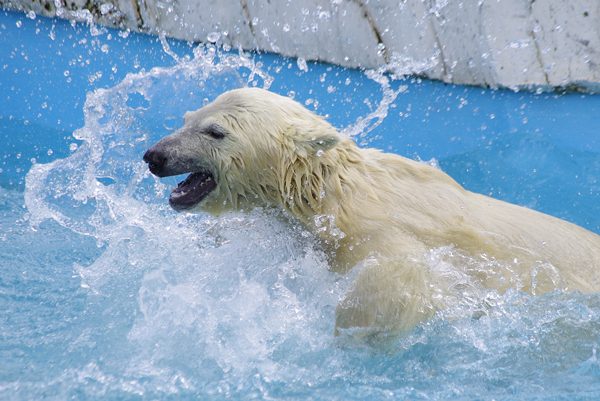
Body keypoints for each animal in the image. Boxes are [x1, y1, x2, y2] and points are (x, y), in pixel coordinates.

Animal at [143, 87, 600, 334]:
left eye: (215, 131)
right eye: (187, 118)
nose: (154, 156)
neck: (329, 194)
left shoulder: (374, 231)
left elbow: (408, 274)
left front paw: (354, 331)